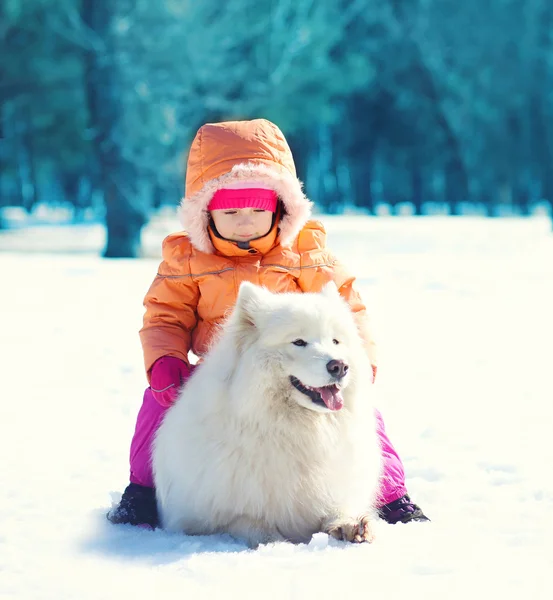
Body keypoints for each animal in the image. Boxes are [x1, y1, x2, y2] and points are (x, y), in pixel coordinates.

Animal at [153, 282, 382, 548]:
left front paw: (351, 525)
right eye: (299, 342)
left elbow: (337, 509)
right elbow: (251, 524)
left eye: (335, 341)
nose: (340, 366)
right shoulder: (207, 516)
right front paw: (276, 544)